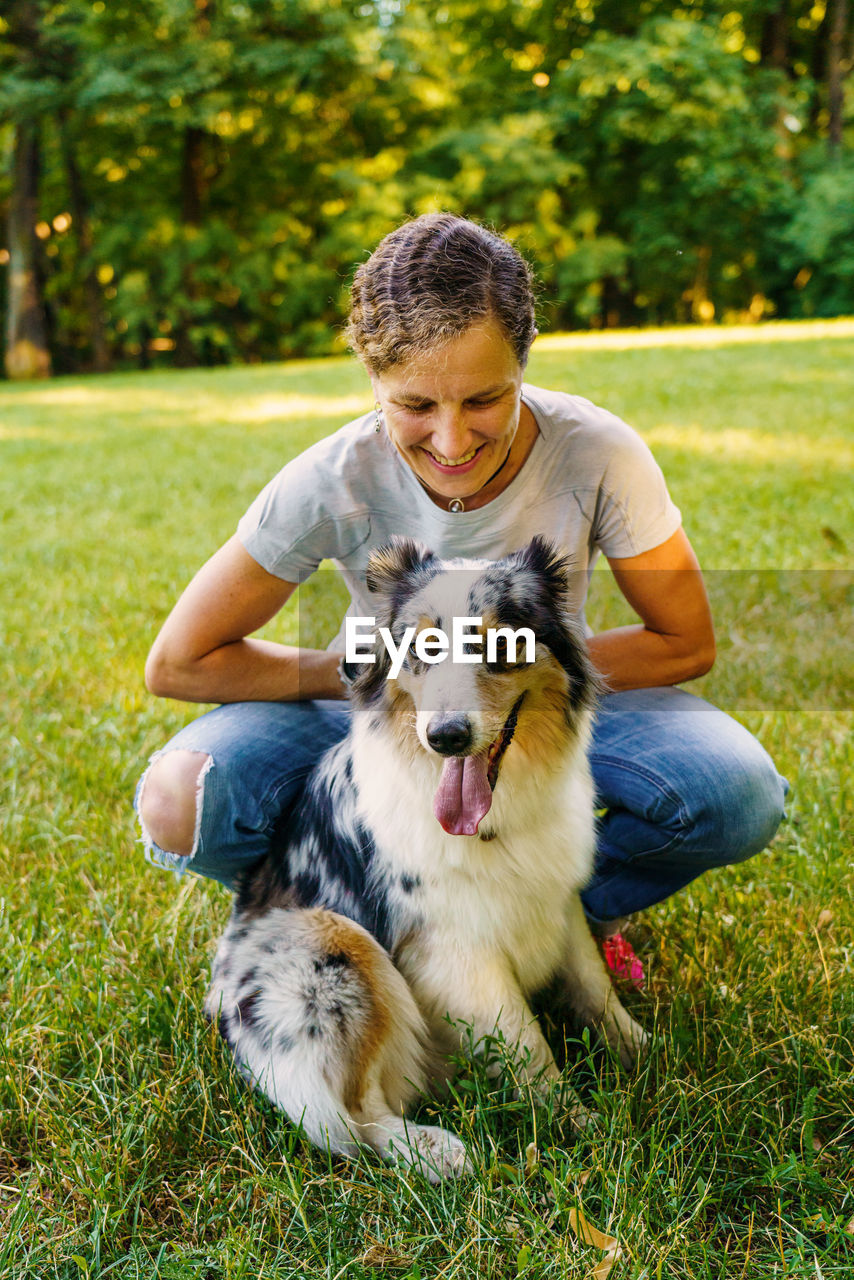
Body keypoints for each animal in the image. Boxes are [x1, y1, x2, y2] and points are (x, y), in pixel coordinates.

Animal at [204, 532, 647, 1177]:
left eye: (502, 644)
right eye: (423, 647)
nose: (447, 737)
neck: (496, 814)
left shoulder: (558, 898)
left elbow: (597, 990)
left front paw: (650, 1054)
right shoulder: (456, 953)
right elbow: (529, 1047)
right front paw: (583, 1127)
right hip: (331, 944)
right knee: (356, 1120)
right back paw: (437, 1150)